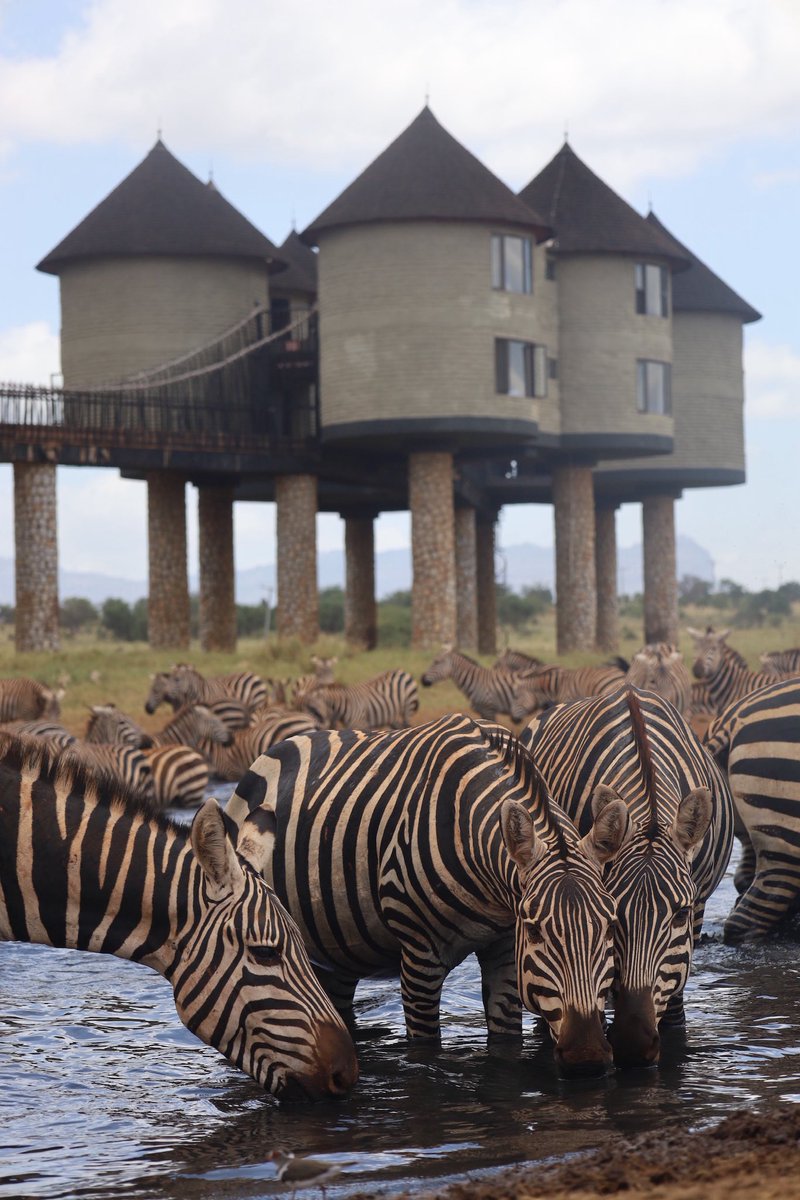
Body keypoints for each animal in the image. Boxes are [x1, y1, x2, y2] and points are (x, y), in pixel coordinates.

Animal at [226, 713, 632, 1077]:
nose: (587, 1057)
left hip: (337, 952)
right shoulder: (420, 958)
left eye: (611, 927)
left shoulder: (504, 950)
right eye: (534, 930)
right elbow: (425, 1054)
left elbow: (505, 1042)